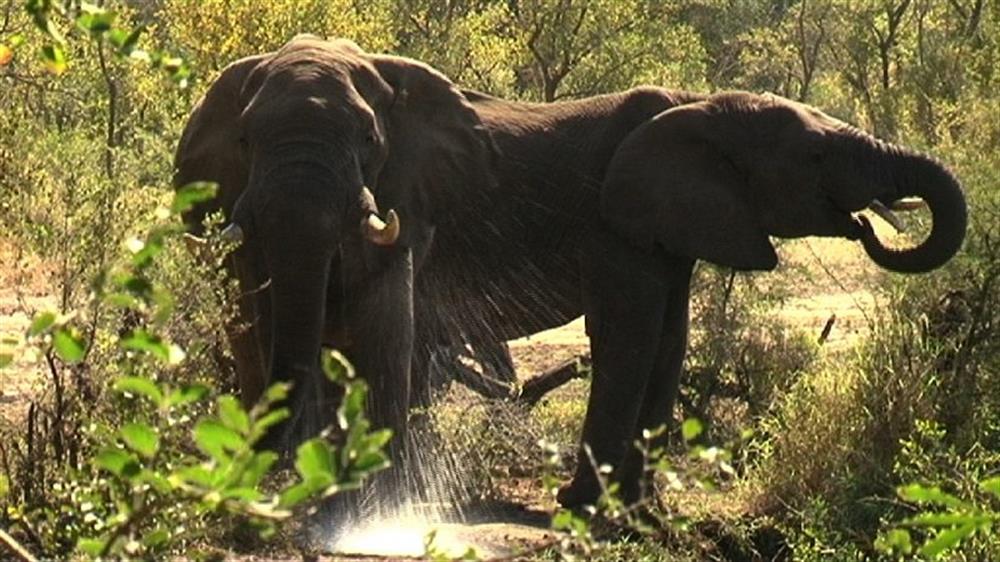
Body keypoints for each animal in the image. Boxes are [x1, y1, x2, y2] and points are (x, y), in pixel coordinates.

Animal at [176, 35, 964, 512]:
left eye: (371, 139)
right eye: (815, 158)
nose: (872, 223)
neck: (700, 109)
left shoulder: (655, 225)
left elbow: (665, 340)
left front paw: (632, 507)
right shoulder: (617, 220)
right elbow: (629, 335)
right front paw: (585, 505)